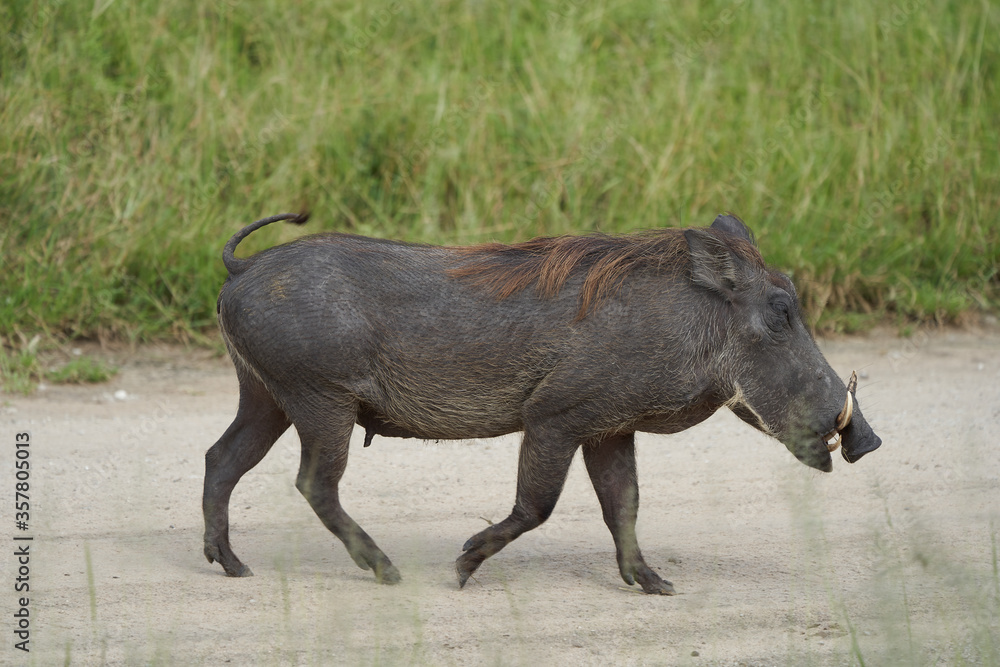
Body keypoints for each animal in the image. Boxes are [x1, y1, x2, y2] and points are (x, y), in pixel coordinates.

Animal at [202, 212, 882, 594]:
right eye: (781, 311)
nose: (868, 440)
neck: (691, 321)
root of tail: (241, 268)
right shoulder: (555, 417)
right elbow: (537, 506)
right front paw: (462, 569)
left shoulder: (610, 429)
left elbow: (624, 506)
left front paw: (655, 585)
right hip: (320, 400)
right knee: (313, 483)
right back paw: (386, 571)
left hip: (266, 397)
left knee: (221, 459)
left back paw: (231, 566)